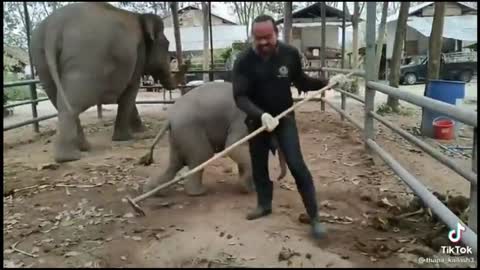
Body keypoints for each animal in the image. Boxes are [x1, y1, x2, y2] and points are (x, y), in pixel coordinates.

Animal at [30, 2, 183, 162]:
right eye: (167, 45)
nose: (184, 64)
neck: (139, 17)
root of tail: (53, 28)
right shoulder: (137, 56)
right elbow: (130, 91)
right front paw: (131, 137)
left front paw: (140, 132)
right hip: (86, 59)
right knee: (71, 105)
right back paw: (69, 157)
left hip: (41, 62)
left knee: (60, 101)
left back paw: (84, 147)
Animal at [142, 81, 284, 195]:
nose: (278, 179)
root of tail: (170, 118)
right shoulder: (241, 121)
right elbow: (233, 146)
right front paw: (248, 189)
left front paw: (249, 187)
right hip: (190, 131)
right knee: (202, 156)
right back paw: (199, 192)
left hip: (178, 135)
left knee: (175, 164)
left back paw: (152, 191)